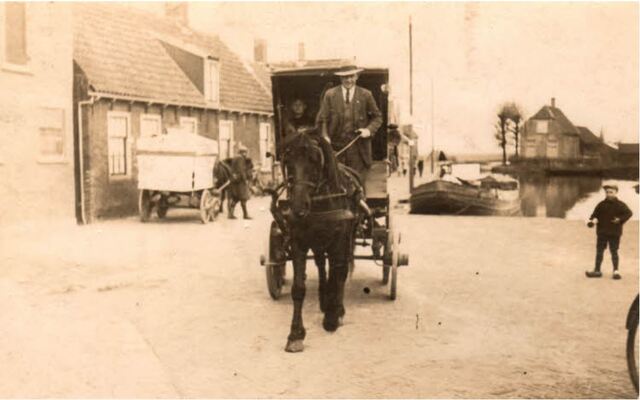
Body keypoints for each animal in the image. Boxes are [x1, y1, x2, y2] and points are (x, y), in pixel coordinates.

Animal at [276, 128, 364, 354]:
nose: (298, 207)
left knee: (340, 271)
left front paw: (332, 318)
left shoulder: (338, 243)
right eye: (288, 160)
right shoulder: (298, 243)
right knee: (322, 265)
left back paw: (336, 310)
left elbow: (337, 275)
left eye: (315, 160)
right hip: (318, 243)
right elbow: (298, 288)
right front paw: (295, 335)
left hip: (345, 240)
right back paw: (325, 301)